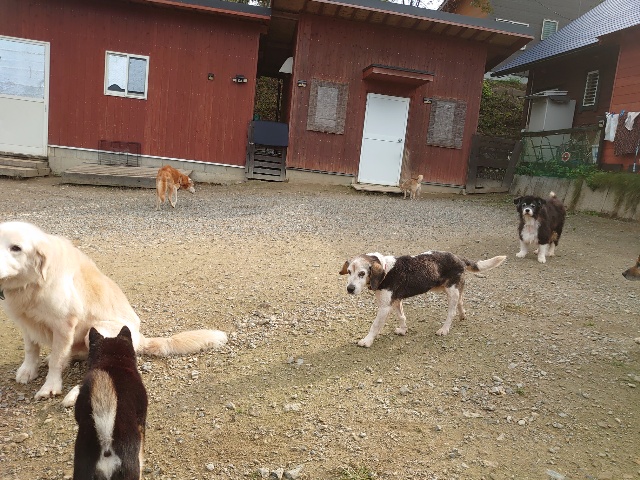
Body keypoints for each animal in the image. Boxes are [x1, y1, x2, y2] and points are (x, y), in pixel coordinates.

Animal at [0, 221, 227, 405]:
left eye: (16, 248)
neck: (31, 285)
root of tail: (140, 338)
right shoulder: (26, 323)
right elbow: (31, 349)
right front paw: (28, 371)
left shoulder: (65, 324)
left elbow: (57, 360)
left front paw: (50, 387)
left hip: (97, 329)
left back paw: (73, 395)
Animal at [339, 251, 506, 347]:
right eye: (349, 272)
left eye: (362, 273)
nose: (350, 289)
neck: (386, 269)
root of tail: (459, 258)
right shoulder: (396, 301)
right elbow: (402, 317)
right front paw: (403, 330)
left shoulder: (385, 307)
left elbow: (374, 326)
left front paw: (367, 341)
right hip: (451, 289)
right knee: (461, 301)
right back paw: (462, 315)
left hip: (451, 291)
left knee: (451, 312)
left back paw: (444, 329)